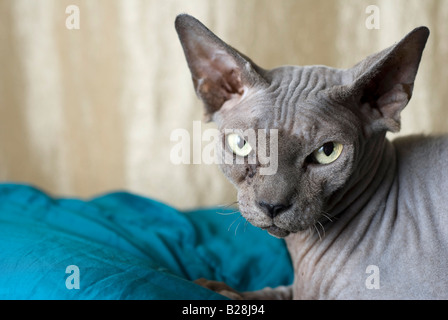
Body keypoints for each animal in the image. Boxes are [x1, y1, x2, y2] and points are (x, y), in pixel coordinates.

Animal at [174, 14, 448, 300]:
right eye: (241, 144)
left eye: (327, 152)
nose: (272, 206)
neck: (303, 252)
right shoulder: (295, 291)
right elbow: (271, 292)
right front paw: (217, 289)